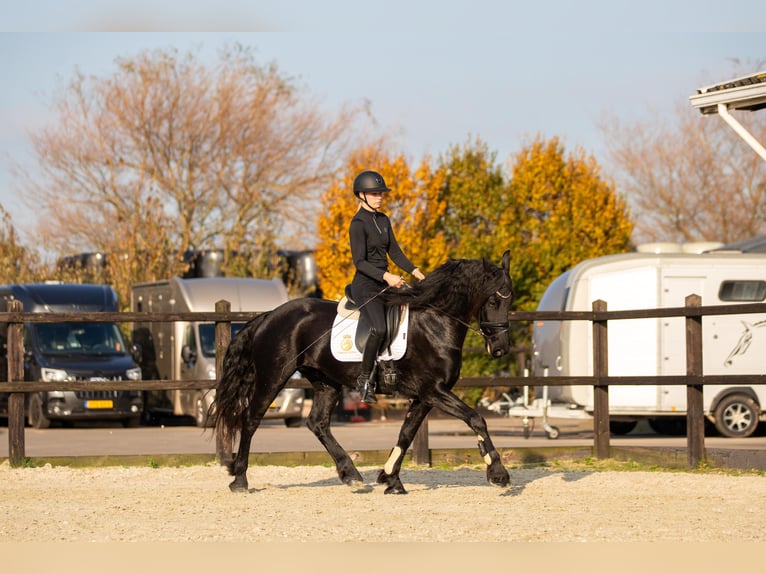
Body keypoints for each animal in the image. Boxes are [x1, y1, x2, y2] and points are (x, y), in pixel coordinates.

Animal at [214, 251, 516, 496]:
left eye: (509, 300)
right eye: (493, 301)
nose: (500, 348)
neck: (435, 322)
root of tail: (268, 315)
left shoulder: (424, 396)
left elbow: (406, 434)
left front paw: (391, 480)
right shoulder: (434, 390)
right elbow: (476, 419)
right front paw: (498, 474)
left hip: (325, 382)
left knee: (317, 423)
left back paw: (351, 475)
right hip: (273, 377)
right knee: (251, 419)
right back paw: (239, 479)